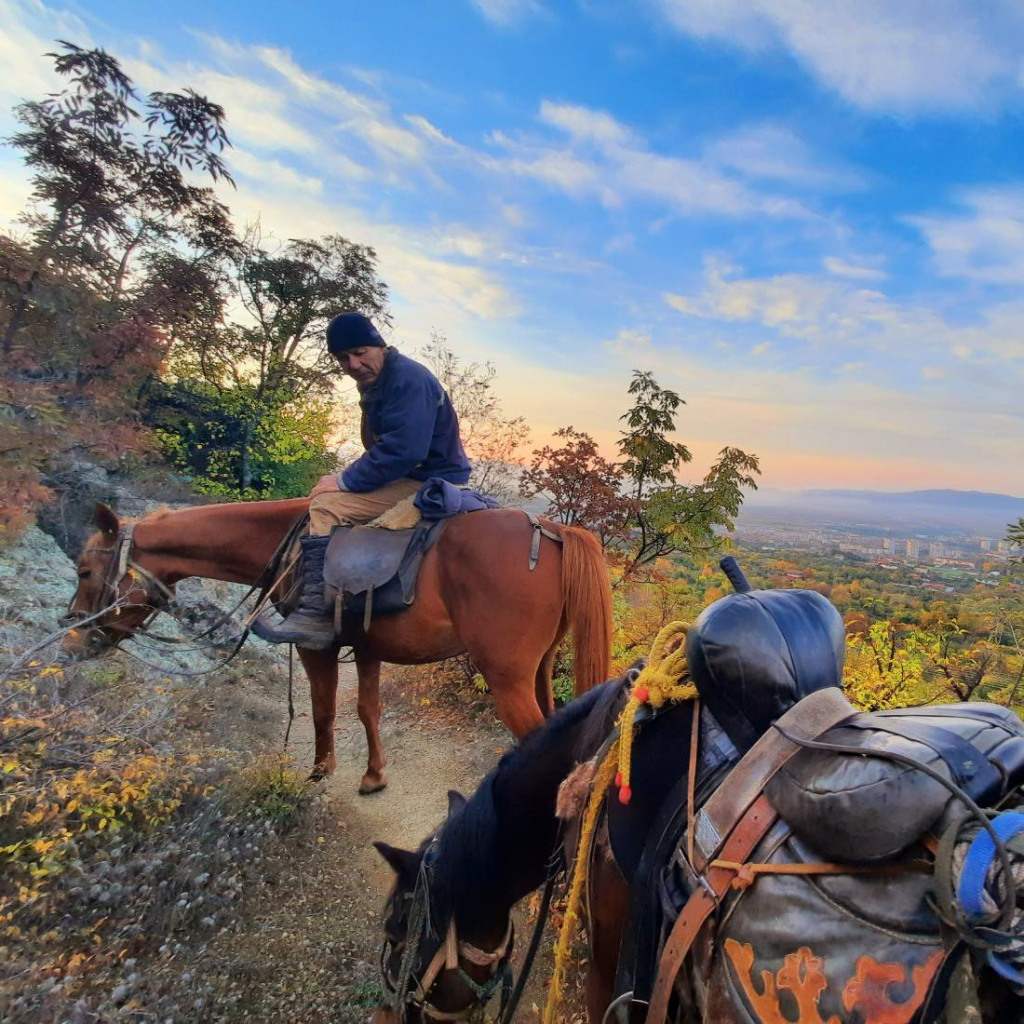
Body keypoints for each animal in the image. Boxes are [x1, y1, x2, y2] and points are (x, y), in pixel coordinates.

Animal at [64, 495, 610, 790]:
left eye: (85, 570)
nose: (72, 641)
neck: (287, 545)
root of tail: (549, 529)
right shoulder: (367, 650)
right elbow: (368, 710)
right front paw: (373, 776)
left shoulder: (315, 648)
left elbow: (323, 708)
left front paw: (320, 769)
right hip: (539, 669)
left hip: (507, 679)